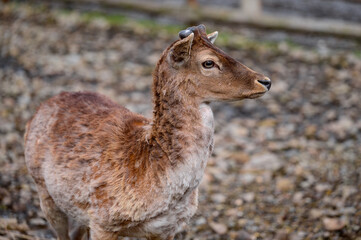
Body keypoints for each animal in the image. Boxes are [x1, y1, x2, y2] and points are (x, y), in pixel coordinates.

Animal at [23, 24, 270, 240]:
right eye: (208, 62)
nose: (265, 81)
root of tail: (43, 105)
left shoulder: (167, 228)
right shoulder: (102, 220)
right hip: (44, 190)